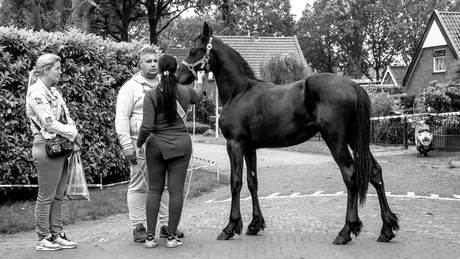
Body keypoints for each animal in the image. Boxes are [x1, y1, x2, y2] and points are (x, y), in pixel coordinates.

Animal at [177, 22, 398, 246]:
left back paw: (345, 231)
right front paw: (255, 225)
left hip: (336, 140)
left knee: (350, 175)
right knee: (374, 172)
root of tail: (353, 85)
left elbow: (235, 183)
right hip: (354, 139)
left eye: (193, 50)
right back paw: (386, 228)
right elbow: (252, 182)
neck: (239, 91)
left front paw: (230, 227)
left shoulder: (235, 144)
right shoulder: (249, 148)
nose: (178, 76)